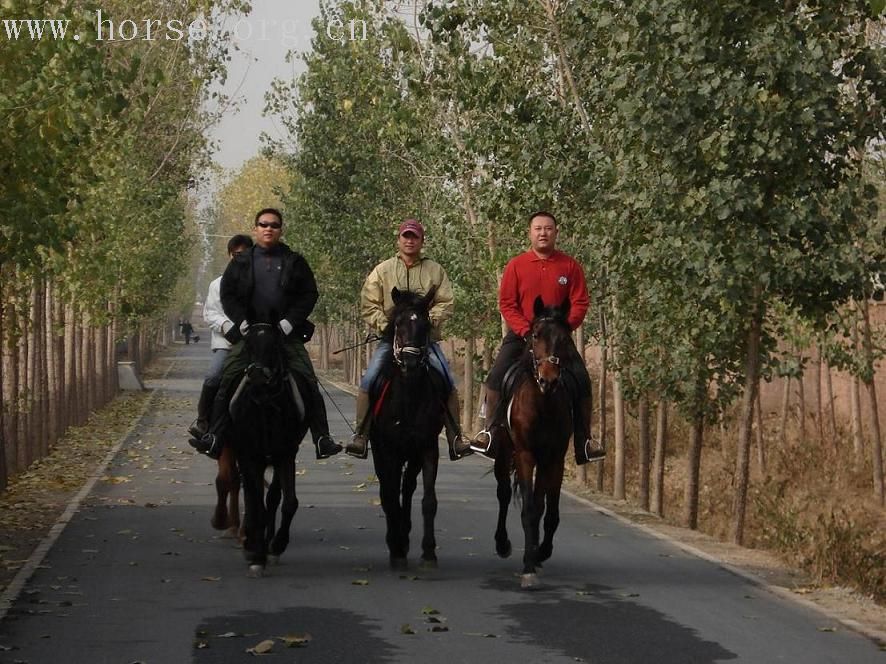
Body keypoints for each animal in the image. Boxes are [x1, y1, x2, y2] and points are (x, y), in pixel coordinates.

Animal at [225, 322, 308, 576]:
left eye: (275, 345)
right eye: (248, 344)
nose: (257, 376)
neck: (266, 406)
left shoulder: (286, 453)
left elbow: (286, 501)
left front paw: (276, 545)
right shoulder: (250, 456)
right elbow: (257, 504)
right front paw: (257, 555)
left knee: (269, 498)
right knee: (251, 498)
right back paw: (250, 542)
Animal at [372, 286, 448, 572]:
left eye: (425, 324)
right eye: (398, 324)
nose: (410, 363)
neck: (409, 397)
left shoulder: (426, 448)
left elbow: (428, 501)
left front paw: (428, 553)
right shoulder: (390, 451)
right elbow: (390, 495)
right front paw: (396, 551)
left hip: (412, 456)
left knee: (408, 488)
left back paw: (404, 537)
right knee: (388, 491)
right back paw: (396, 542)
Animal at [492, 298, 576, 588]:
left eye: (565, 338)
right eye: (536, 335)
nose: (548, 379)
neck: (543, 404)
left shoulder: (554, 457)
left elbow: (546, 510)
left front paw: (540, 553)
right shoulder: (525, 454)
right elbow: (528, 508)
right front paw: (528, 567)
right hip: (504, 452)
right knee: (504, 493)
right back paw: (502, 544)